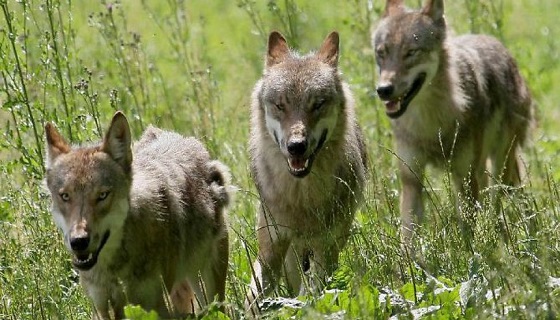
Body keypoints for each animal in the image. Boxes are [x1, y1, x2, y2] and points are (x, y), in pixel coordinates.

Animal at [43, 111, 232, 318]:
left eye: (102, 195)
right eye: (65, 196)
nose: (78, 241)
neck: (113, 269)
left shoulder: (156, 305)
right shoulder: (102, 307)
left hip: (209, 291)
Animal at [247, 31, 370, 312]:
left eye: (317, 105)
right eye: (280, 105)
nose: (296, 146)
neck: (300, 196)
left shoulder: (325, 246)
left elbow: (310, 292)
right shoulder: (270, 248)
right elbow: (253, 297)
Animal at [372, 0, 532, 245]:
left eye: (411, 53)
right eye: (382, 53)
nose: (383, 90)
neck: (431, 123)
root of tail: (496, 43)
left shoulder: (463, 178)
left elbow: (467, 234)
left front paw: (471, 255)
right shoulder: (411, 179)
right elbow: (409, 238)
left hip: (499, 166)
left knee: (498, 203)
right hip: (482, 169)